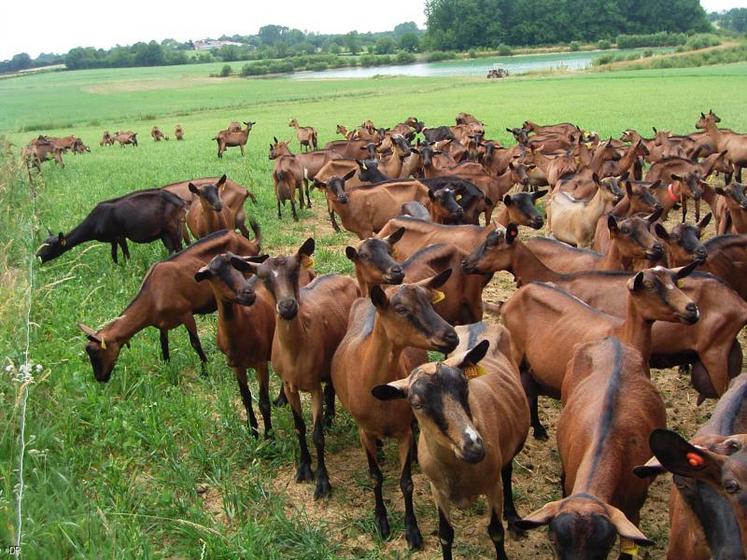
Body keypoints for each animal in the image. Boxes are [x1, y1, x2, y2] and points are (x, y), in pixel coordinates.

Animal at [332, 274, 458, 548]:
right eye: (401, 309)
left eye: (431, 302)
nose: (451, 336)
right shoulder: (364, 432)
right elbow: (375, 477)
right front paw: (381, 522)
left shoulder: (403, 433)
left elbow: (406, 483)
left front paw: (412, 531)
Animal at [374, 324, 532, 560]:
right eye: (416, 403)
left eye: (465, 386)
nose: (474, 446)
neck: (459, 469)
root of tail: (482, 324)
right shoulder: (438, 489)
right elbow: (445, 535)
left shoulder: (492, 485)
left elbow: (496, 531)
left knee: (507, 471)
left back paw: (513, 519)